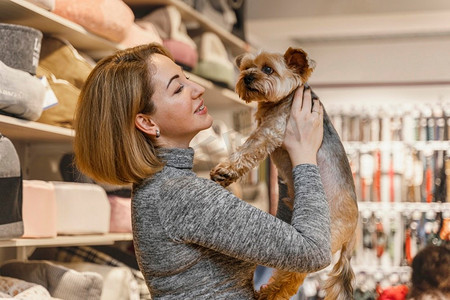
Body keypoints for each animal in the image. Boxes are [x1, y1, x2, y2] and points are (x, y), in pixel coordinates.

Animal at [210, 48, 358, 298]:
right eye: (246, 67)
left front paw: (226, 171)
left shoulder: (270, 131)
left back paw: (268, 293)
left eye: (268, 69)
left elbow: (248, 148)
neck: (278, 101)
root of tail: (351, 233)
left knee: (292, 278)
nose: (247, 77)